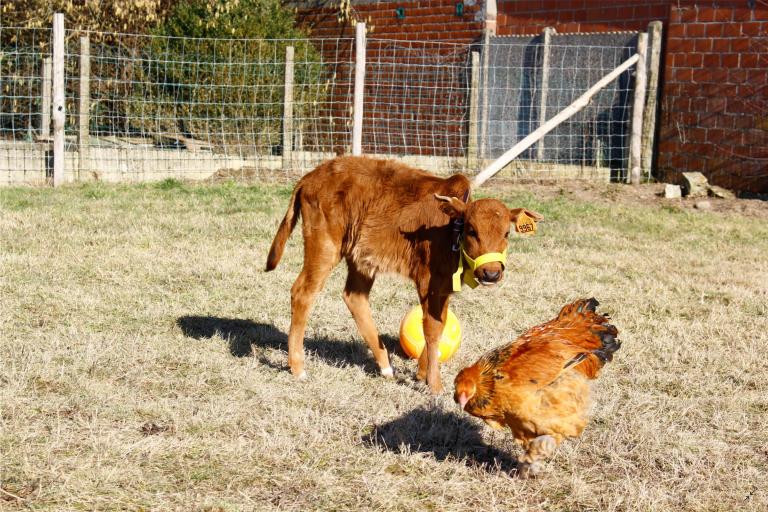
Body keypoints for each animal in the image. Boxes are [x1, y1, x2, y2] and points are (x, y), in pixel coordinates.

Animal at [268, 155, 544, 392]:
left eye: (506, 233)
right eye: (472, 230)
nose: (491, 273)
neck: (449, 231)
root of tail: (310, 177)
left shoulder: (444, 287)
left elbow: (441, 323)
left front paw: (422, 373)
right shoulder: (428, 280)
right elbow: (431, 328)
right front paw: (434, 385)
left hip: (361, 257)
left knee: (354, 296)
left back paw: (385, 366)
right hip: (324, 245)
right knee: (303, 292)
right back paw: (298, 367)